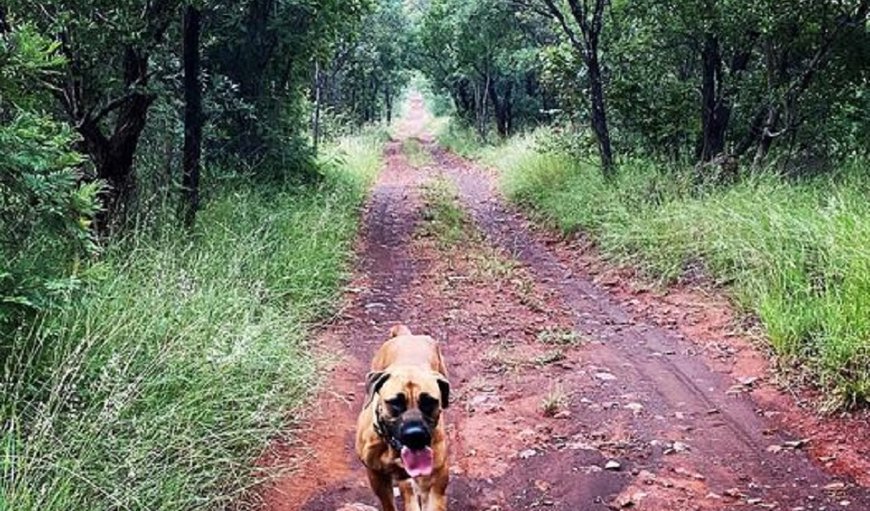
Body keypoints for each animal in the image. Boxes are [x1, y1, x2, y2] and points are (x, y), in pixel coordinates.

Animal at [356, 326, 454, 511]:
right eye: (395, 403)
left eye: (429, 402)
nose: (415, 435)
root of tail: (406, 335)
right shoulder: (376, 477)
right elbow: (389, 504)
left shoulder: (436, 477)